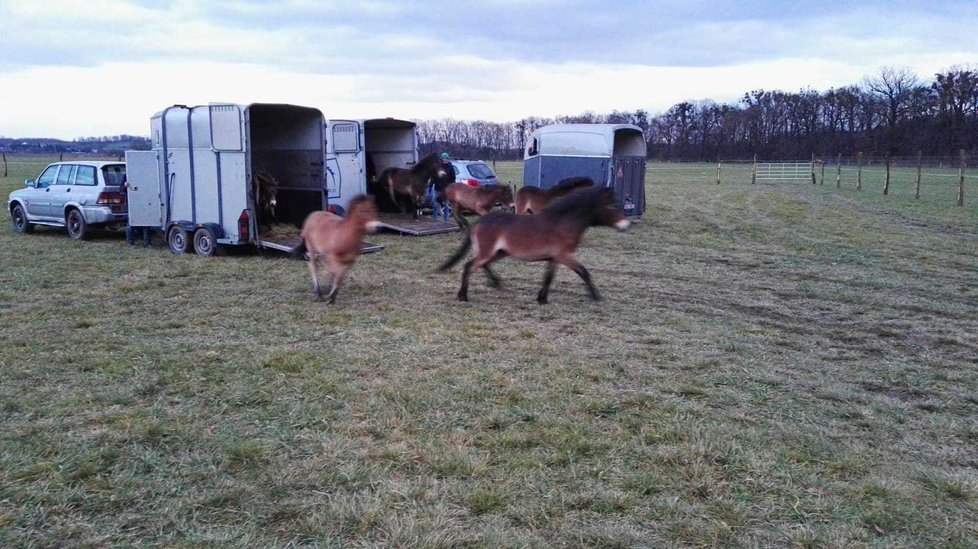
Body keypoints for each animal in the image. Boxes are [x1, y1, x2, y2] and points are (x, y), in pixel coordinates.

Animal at [438, 185, 628, 304]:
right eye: (612, 205)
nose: (626, 225)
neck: (563, 221)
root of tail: (479, 222)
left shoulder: (555, 257)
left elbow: (549, 277)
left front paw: (542, 298)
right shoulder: (564, 255)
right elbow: (584, 272)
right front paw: (597, 296)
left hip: (498, 252)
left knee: (482, 265)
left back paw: (495, 283)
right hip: (489, 252)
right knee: (470, 266)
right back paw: (463, 296)